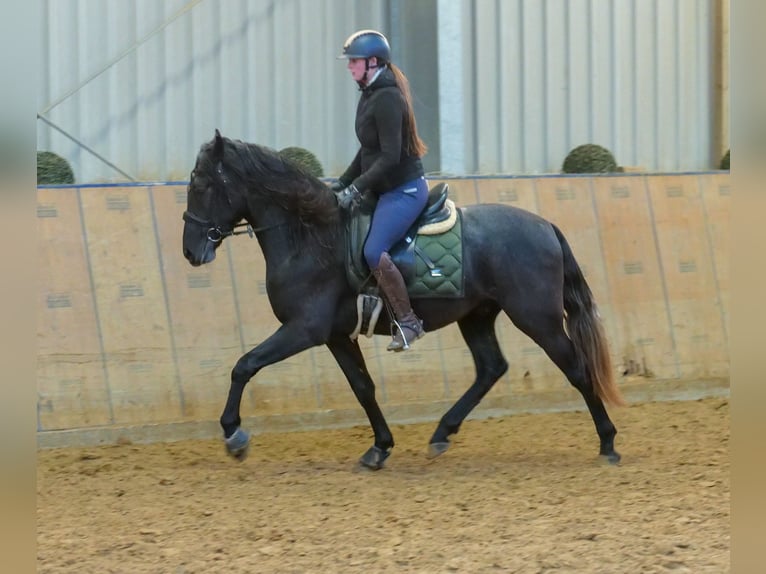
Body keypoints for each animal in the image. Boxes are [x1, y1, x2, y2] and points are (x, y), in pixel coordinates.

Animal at [183, 132, 628, 472]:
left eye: (201, 185)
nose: (191, 251)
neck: (310, 237)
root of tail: (546, 226)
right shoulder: (336, 336)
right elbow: (363, 387)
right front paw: (379, 447)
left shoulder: (304, 329)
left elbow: (245, 365)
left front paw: (234, 435)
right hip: (477, 315)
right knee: (491, 367)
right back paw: (442, 433)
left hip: (538, 319)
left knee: (575, 367)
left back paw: (607, 443)